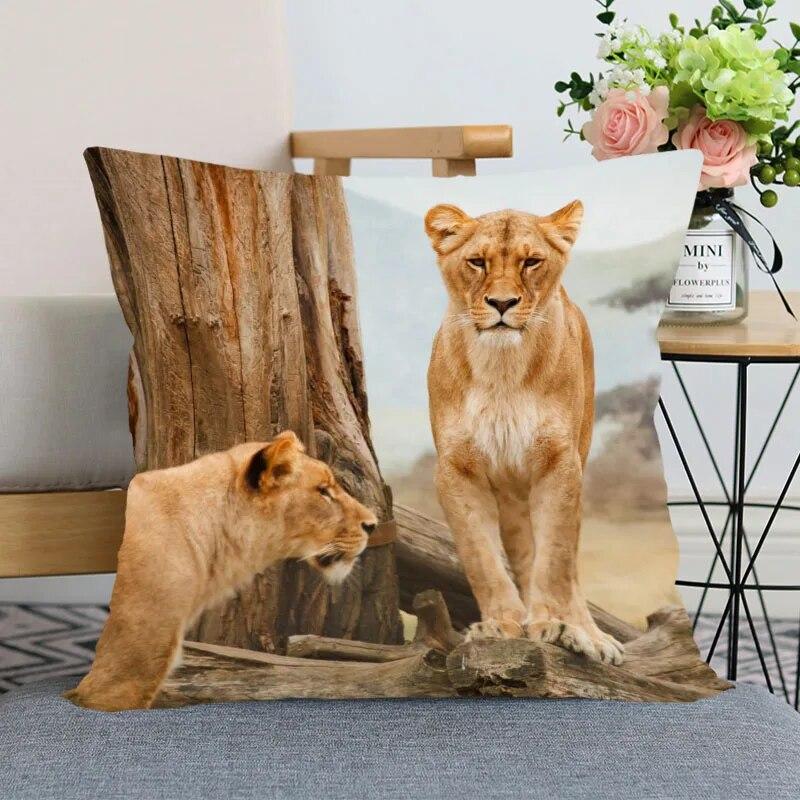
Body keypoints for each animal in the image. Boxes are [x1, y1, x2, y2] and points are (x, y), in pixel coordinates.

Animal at [425, 201, 623, 665]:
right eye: (477, 262)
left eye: (531, 262)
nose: (501, 303)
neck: (501, 369)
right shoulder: (455, 470)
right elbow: (480, 556)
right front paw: (501, 623)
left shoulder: (559, 463)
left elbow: (555, 559)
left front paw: (552, 623)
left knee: (569, 565)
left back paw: (588, 634)